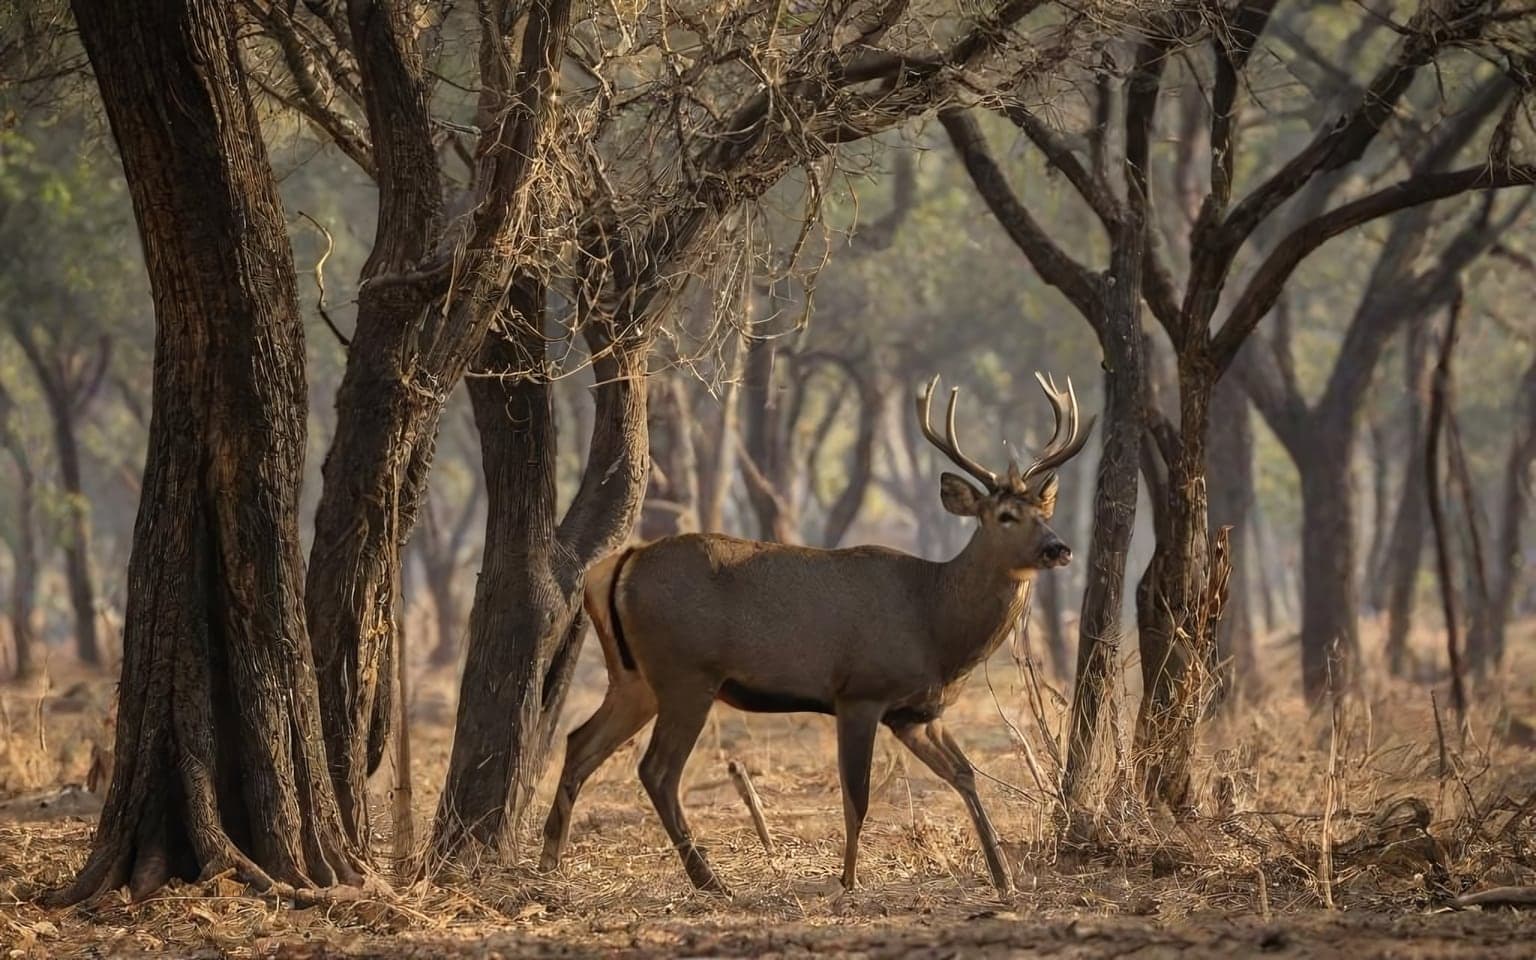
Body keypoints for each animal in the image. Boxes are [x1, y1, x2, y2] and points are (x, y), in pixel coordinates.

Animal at [539, 373, 1094, 895]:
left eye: (1044, 511)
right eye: (1005, 515)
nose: (1058, 548)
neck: (935, 626)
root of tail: (617, 565)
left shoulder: (917, 714)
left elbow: (965, 775)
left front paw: (1004, 878)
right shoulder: (860, 692)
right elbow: (857, 795)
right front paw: (849, 880)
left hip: (635, 679)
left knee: (579, 742)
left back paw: (550, 861)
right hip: (686, 675)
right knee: (656, 770)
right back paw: (711, 880)